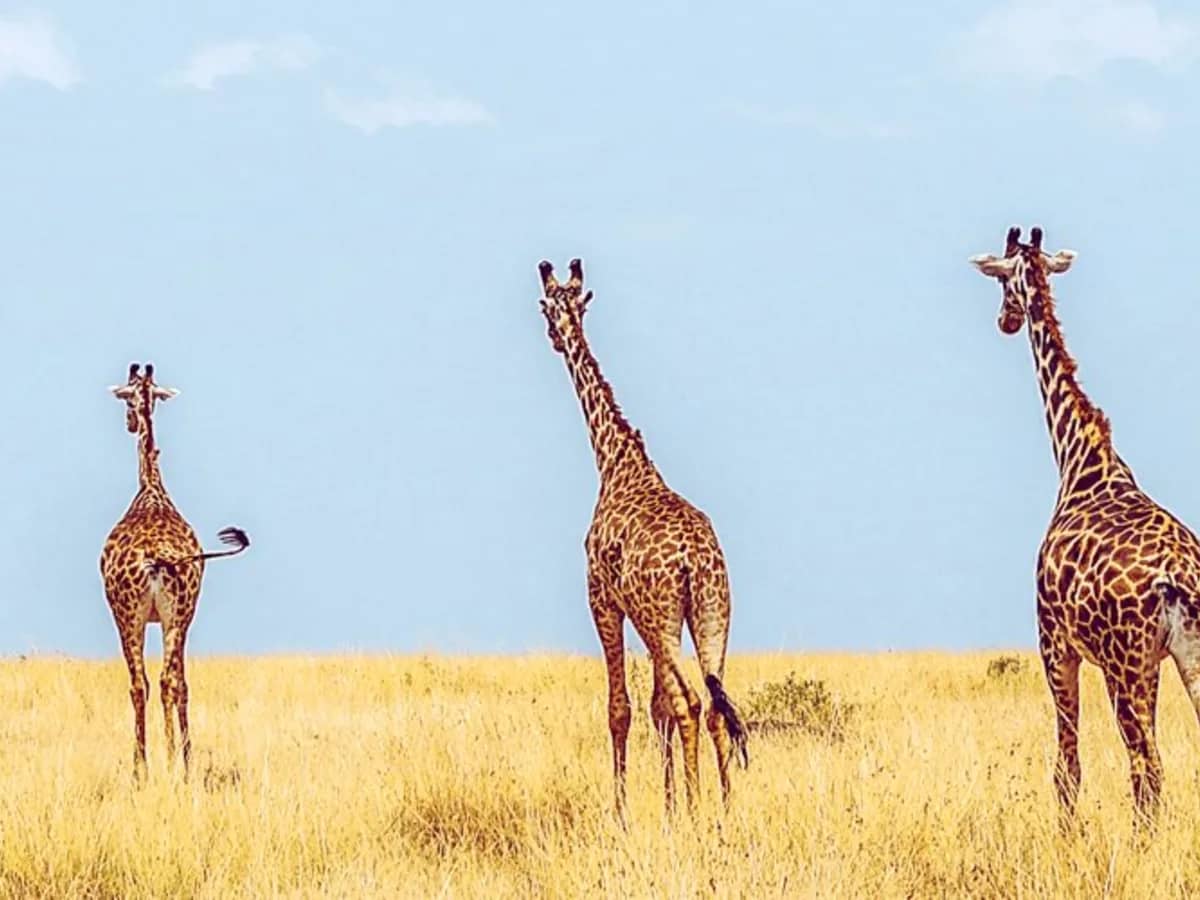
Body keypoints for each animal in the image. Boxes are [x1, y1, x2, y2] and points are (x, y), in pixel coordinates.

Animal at [100, 362, 250, 777]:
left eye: (126, 397)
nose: (129, 423)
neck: (151, 488)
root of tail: (157, 559)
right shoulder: (181, 617)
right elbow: (181, 683)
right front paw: (180, 759)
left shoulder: (151, 617)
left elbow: (163, 683)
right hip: (172, 614)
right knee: (165, 681)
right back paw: (169, 764)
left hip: (130, 615)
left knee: (144, 683)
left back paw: (147, 768)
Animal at [538, 258, 748, 819]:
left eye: (546, 306)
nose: (555, 338)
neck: (615, 460)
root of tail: (692, 561)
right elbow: (655, 708)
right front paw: (669, 809)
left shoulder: (603, 599)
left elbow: (622, 709)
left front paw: (626, 813)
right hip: (712, 611)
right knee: (715, 703)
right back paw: (725, 810)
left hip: (661, 616)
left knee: (690, 702)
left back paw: (700, 811)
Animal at [971, 226, 1200, 824]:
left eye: (1001, 281)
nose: (1005, 321)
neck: (1080, 459)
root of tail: (1179, 578)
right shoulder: (1155, 662)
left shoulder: (1054, 641)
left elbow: (1067, 768)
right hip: (1181, 654)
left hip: (1123, 664)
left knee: (1148, 767)